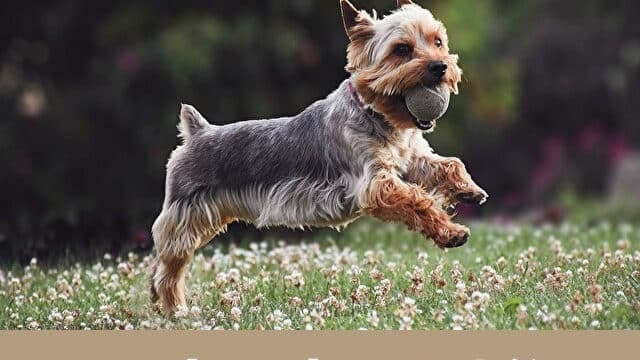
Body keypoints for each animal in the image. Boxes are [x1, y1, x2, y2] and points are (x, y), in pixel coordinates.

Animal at [151, 0, 484, 314]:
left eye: (438, 41)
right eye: (401, 50)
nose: (440, 66)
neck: (379, 114)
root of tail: (197, 132)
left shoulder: (411, 157)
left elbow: (449, 165)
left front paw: (470, 190)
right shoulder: (375, 183)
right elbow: (418, 200)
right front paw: (452, 232)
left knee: (159, 262)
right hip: (187, 213)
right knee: (168, 266)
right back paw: (175, 308)